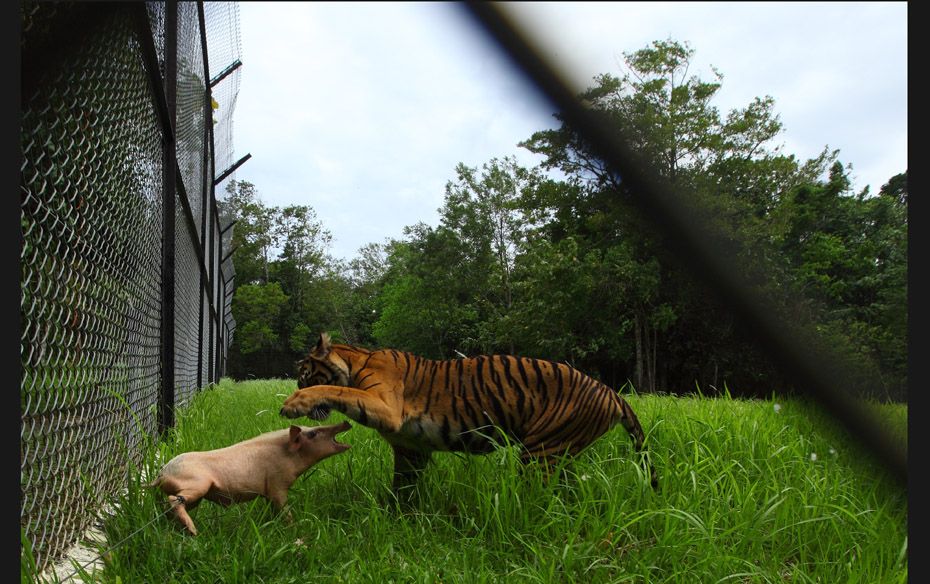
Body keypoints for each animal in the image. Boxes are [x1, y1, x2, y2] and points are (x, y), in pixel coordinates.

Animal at [280, 334, 656, 492]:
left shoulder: (387, 407)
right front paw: (397, 519)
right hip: (559, 455)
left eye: (303, 373)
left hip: (540, 453)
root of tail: (611, 392)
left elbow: (340, 391)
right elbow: (402, 490)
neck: (356, 361)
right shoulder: (410, 451)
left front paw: (294, 402)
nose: (294, 382)